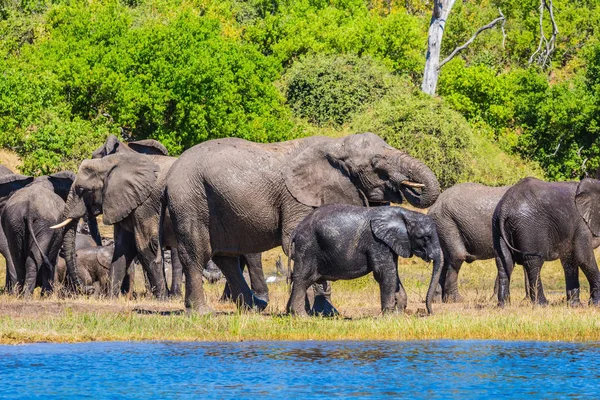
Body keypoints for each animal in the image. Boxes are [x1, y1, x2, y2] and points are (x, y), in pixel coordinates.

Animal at [284, 206, 442, 316]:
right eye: (425, 238)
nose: (430, 313)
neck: (405, 214)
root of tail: (296, 230)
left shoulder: (390, 244)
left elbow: (393, 274)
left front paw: (399, 315)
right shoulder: (377, 242)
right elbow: (384, 274)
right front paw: (390, 317)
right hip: (307, 247)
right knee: (302, 280)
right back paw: (302, 317)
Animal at [492, 178, 600, 306]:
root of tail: (505, 207)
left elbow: (570, 260)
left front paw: (574, 305)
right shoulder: (581, 223)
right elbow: (583, 257)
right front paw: (595, 304)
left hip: (497, 228)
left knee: (504, 261)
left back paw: (503, 305)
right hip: (529, 227)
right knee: (534, 262)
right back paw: (542, 304)